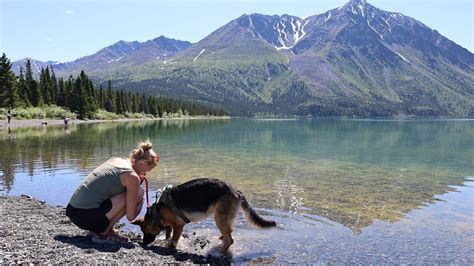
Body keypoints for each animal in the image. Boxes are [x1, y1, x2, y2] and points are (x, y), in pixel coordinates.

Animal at [131, 179, 276, 251]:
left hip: (219, 218)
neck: (157, 211)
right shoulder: (171, 225)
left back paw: (220, 251)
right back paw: (221, 238)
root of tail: (236, 190)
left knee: (230, 240)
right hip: (223, 218)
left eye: (144, 231)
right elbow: (168, 233)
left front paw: (171, 247)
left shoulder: (179, 226)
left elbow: (174, 239)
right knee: (229, 232)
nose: (143, 244)